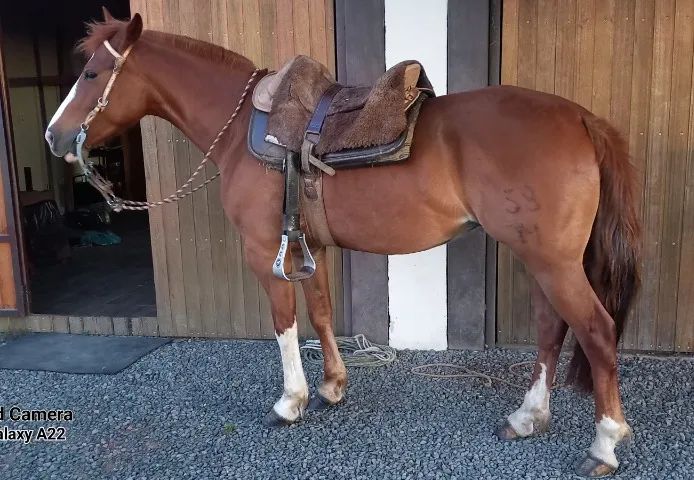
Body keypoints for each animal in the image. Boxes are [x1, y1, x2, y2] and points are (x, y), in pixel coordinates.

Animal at [44, 11, 640, 478]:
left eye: (92, 73)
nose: (54, 136)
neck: (243, 129)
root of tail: (581, 118)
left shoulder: (264, 251)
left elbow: (284, 322)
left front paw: (292, 401)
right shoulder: (311, 246)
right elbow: (323, 312)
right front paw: (333, 386)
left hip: (554, 262)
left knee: (596, 331)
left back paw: (604, 444)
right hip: (542, 260)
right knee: (551, 329)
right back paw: (526, 417)